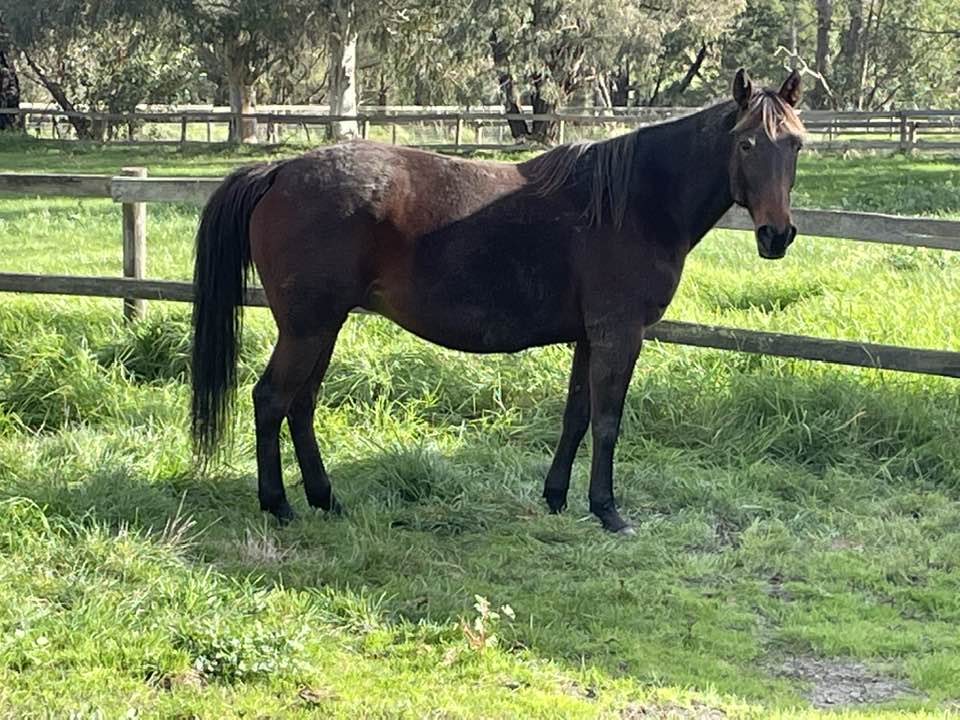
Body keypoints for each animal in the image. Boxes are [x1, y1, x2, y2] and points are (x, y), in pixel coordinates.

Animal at [191, 68, 805, 534]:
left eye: (796, 143)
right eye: (747, 142)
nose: (777, 236)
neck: (633, 203)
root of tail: (279, 170)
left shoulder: (590, 337)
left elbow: (576, 416)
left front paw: (557, 497)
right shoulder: (619, 334)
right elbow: (607, 421)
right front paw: (608, 511)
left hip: (323, 326)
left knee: (300, 404)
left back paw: (325, 498)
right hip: (307, 327)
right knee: (271, 399)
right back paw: (279, 505)